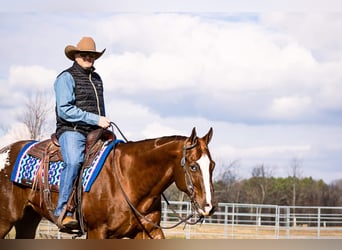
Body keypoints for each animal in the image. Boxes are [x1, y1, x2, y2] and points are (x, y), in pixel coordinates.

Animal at [0, 128, 214, 239]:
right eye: (193, 166)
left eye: (212, 165)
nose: (208, 207)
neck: (128, 179)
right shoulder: (97, 232)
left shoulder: (150, 231)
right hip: (5, 221)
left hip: (28, 220)